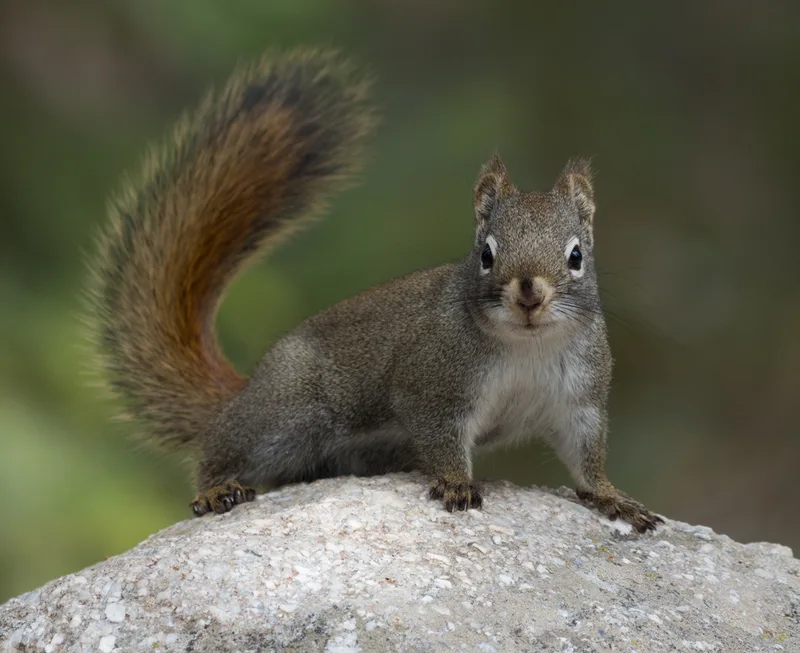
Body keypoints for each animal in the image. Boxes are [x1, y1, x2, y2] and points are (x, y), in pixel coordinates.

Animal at [87, 49, 663, 533]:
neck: (527, 346)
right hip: (292, 412)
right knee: (224, 443)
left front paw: (613, 497)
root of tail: (247, 388)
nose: (529, 294)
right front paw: (456, 483)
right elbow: (442, 439)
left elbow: (586, 457)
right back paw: (215, 489)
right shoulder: (433, 386)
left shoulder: (578, 400)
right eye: (485, 255)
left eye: (576, 257)